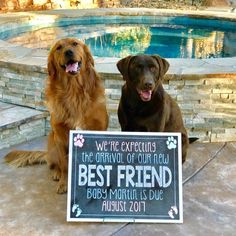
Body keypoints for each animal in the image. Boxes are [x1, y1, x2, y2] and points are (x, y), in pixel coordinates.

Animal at [5, 38, 109, 194]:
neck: (73, 91)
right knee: (55, 165)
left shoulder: (98, 130)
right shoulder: (60, 135)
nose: (68, 52)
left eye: (75, 44)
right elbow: (65, 164)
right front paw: (64, 183)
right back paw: (57, 174)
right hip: (52, 141)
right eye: (59, 48)